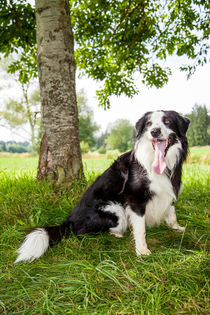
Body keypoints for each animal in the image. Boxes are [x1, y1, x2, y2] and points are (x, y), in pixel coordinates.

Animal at [14, 111, 189, 264]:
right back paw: (116, 234)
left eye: (167, 121)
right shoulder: (135, 200)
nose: (154, 132)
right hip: (115, 210)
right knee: (83, 233)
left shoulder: (169, 191)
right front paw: (142, 250)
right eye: (149, 124)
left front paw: (177, 228)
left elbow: (172, 213)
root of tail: (68, 221)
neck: (159, 163)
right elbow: (140, 229)